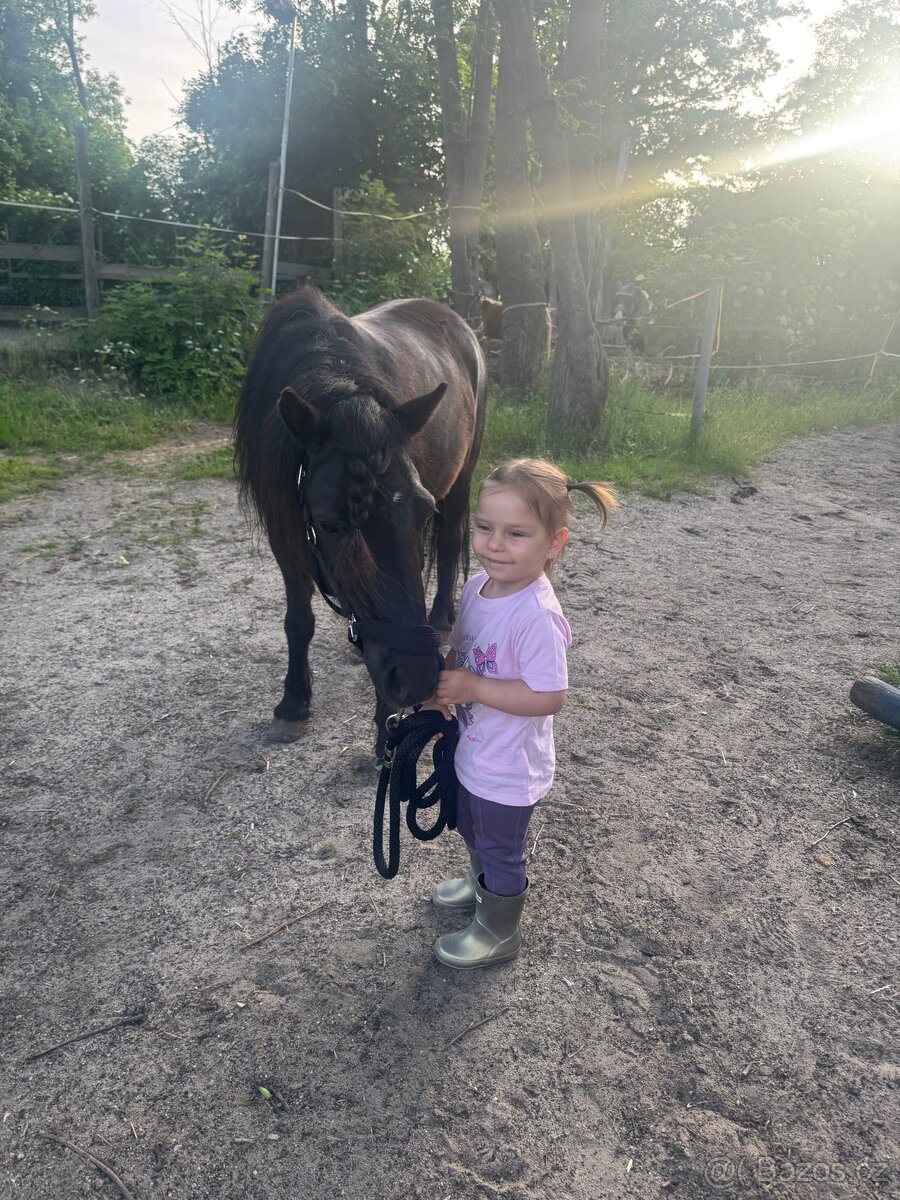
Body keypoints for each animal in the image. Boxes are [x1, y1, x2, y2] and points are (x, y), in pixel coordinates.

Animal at [234, 285, 486, 758]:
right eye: (330, 525)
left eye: (421, 510)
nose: (418, 679)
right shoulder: (285, 537)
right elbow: (299, 622)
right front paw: (293, 704)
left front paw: (386, 729)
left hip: (463, 478)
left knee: (448, 544)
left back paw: (442, 616)